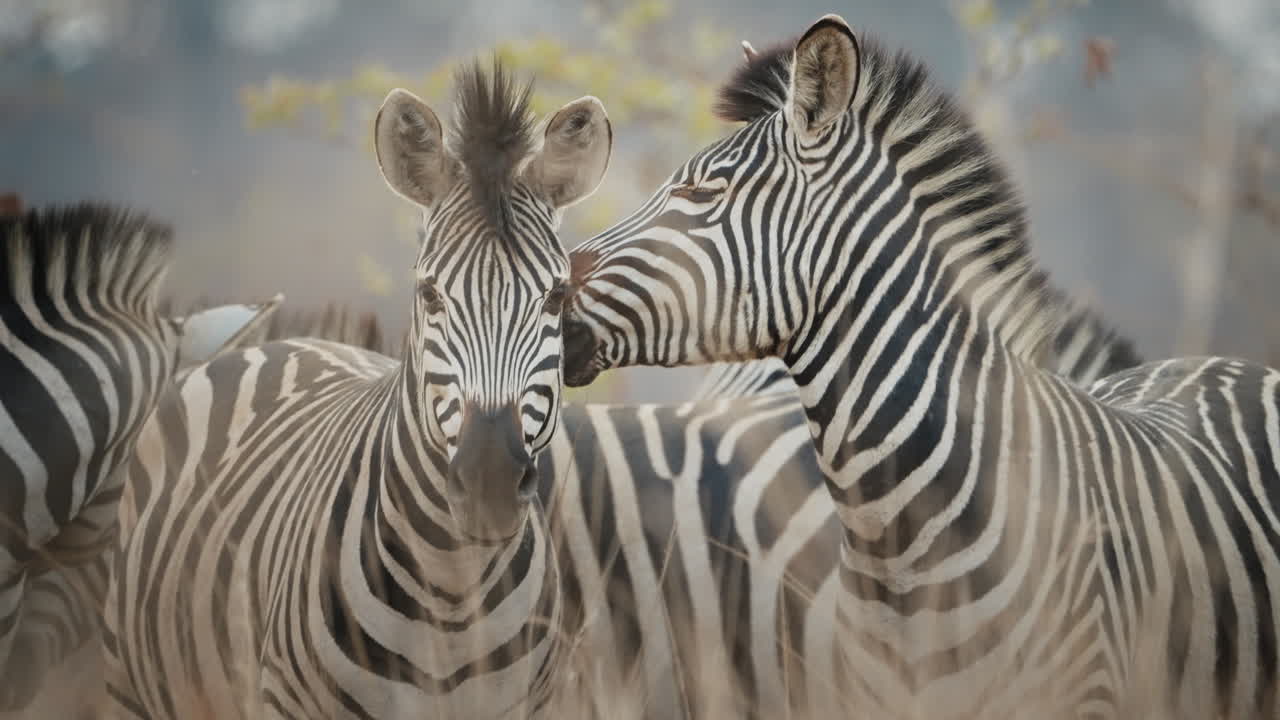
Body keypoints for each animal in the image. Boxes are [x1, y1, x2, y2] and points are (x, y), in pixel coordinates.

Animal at [100, 62, 613, 719]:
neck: (453, 590)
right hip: (128, 685)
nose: (489, 484)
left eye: (555, 296)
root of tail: (283, 342)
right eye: (429, 294)